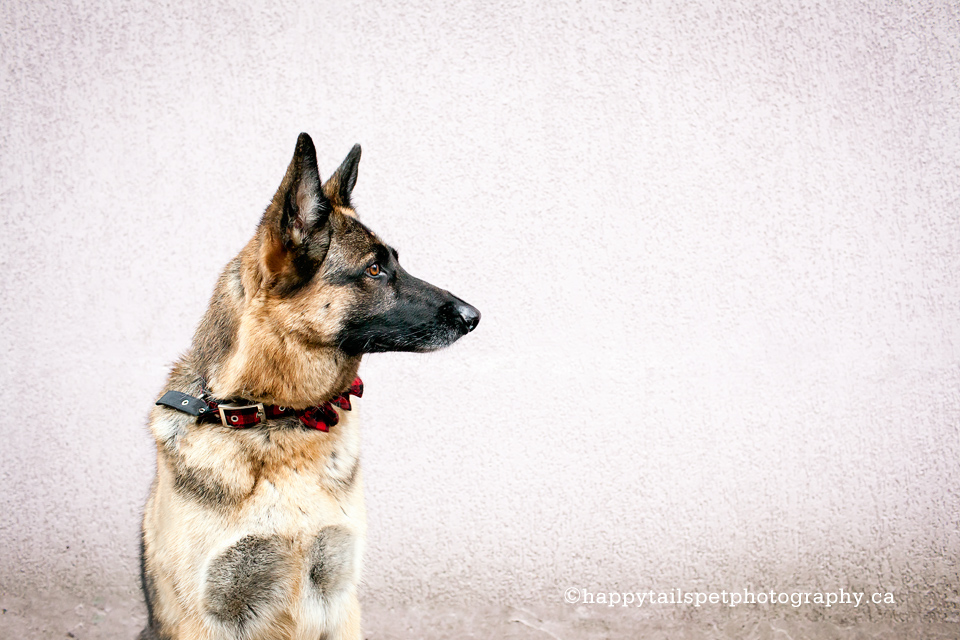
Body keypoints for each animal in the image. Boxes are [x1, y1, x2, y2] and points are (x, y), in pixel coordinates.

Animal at [141, 132, 480, 636]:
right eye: (374, 269)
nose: (474, 317)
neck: (278, 418)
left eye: (395, 263)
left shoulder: (340, 598)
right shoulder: (207, 617)